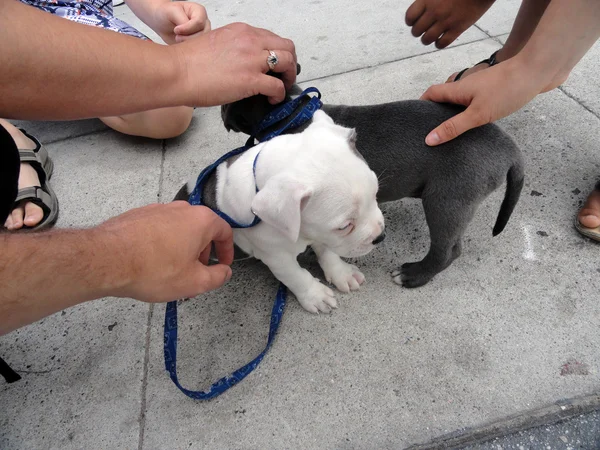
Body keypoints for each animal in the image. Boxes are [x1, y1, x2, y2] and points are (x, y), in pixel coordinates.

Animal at [180, 110, 384, 312]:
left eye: (376, 194)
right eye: (344, 226)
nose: (381, 236)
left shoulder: (321, 234)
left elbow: (328, 252)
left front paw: (342, 273)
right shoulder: (277, 257)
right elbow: (295, 276)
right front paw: (315, 295)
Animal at [214, 67, 520, 288]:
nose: (220, 111)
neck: (291, 113)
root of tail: (509, 148)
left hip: (447, 200)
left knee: (447, 250)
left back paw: (414, 275)